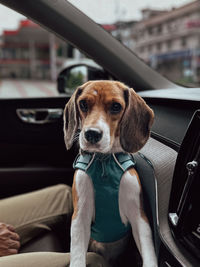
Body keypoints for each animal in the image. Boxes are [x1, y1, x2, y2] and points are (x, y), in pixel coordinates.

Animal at [63, 80, 157, 266]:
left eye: (115, 106)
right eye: (83, 104)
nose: (92, 134)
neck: (104, 163)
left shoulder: (139, 217)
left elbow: (149, 251)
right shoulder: (80, 218)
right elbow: (77, 253)